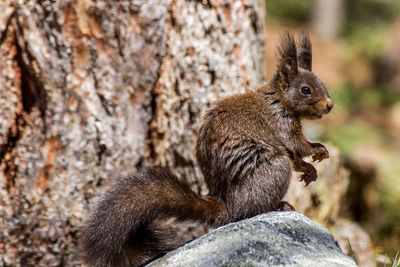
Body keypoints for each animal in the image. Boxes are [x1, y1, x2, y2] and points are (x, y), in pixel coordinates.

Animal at [80, 31, 332, 267]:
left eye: (321, 83)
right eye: (306, 90)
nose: (329, 105)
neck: (279, 99)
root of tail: (226, 205)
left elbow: (296, 156)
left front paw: (310, 168)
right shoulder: (280, 125)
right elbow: (297, 146)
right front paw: (318, 150)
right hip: (274, 168)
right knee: (249, 210)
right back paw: (279, 205)